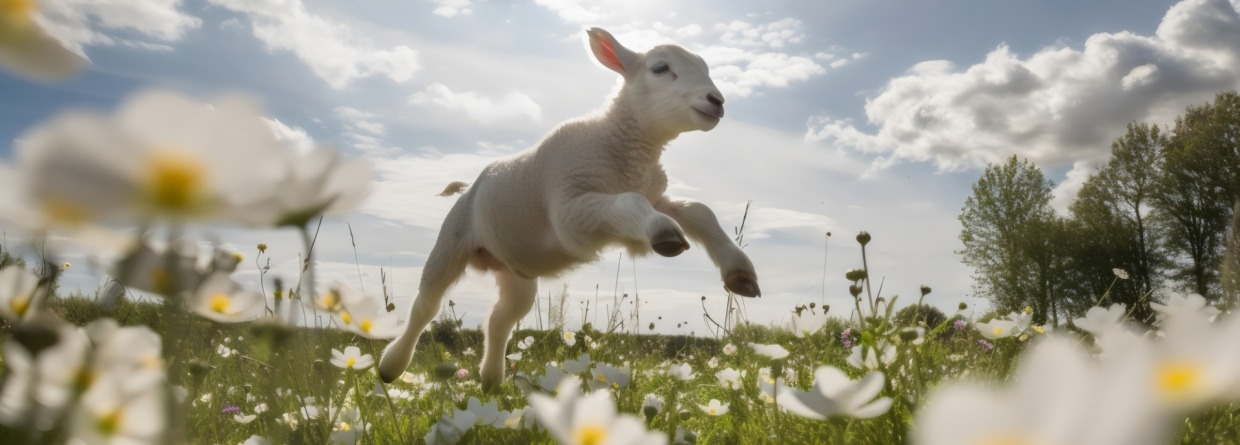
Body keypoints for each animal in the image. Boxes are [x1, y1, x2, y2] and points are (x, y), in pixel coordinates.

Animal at [376, 27, 758, 391]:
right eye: (660, 68)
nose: (717, 101)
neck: (620, 149)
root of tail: (469, 187)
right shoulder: (572, 214)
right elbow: (631, 203)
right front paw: (664, 234)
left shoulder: (653, 197)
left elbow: (699, 211)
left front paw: (739, 273)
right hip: (451, 241)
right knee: (425, 306)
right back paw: (390, 368)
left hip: (516, 270)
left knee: (499, 320)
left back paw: (491, 382)